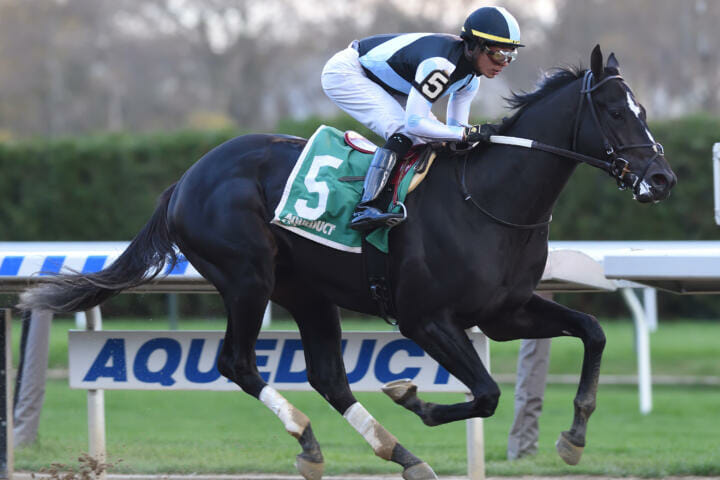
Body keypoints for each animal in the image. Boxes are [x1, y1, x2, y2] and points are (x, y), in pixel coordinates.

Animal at [21, 46, 676, 480]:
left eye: (642, 107)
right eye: (616, 111)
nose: (663, 178)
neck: (490, 198)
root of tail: (184, 179)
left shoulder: (504, 313)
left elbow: (591, 331)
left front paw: (574, 436)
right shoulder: (426, 319)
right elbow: (488, 393)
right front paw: (415, 398)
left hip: (306, 292)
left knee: (329, 377)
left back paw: (397, 453)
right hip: (247, 278)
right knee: (238, 363)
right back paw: (310, 436)